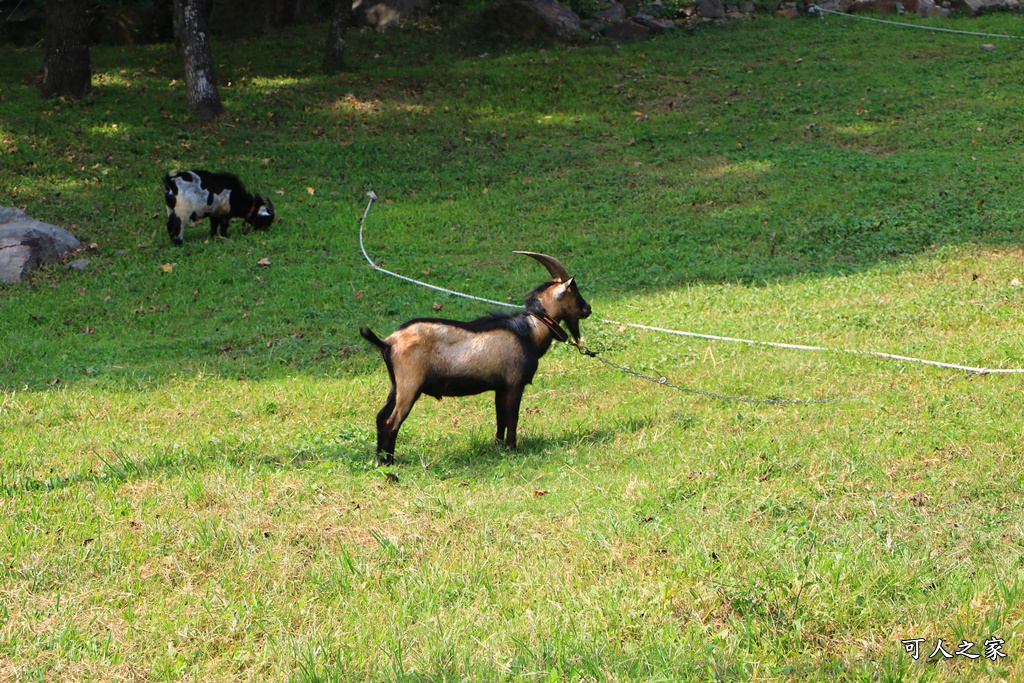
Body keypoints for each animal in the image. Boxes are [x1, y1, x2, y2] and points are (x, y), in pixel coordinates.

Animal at [360, 250, 593, 464]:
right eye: (574, 291)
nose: (588, 309)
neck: (530, 330)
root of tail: (388, 342)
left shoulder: (500, 386)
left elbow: (500, 418)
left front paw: (498, 446)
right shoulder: (514, 382)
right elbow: (512, 417)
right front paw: (512, 449)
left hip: (396, 384)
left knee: (381, 417)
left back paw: (381, 460)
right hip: (410, 383)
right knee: (391, 421)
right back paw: (389, 461)